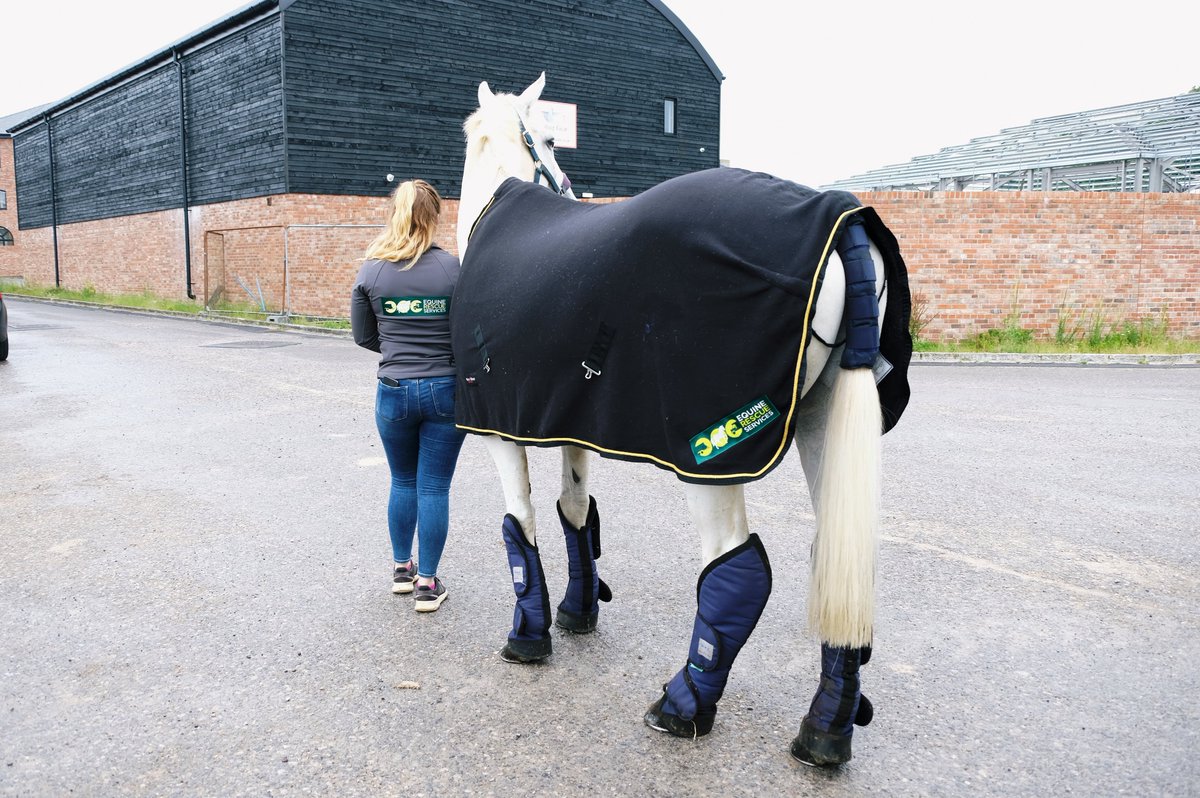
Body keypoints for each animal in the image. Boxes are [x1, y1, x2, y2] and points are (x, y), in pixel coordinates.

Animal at [451, 73, 912, 767]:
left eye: (553, 139)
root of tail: (839, 214)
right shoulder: (568, 419)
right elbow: (574, 511)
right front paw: (578, 611)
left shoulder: (499, 427)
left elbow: (519, 525)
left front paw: (528, 637)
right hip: (824, 426)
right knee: (839, 561)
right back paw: (826, 727)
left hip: (711, 460)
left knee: (736, 569)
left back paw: (683, 704)